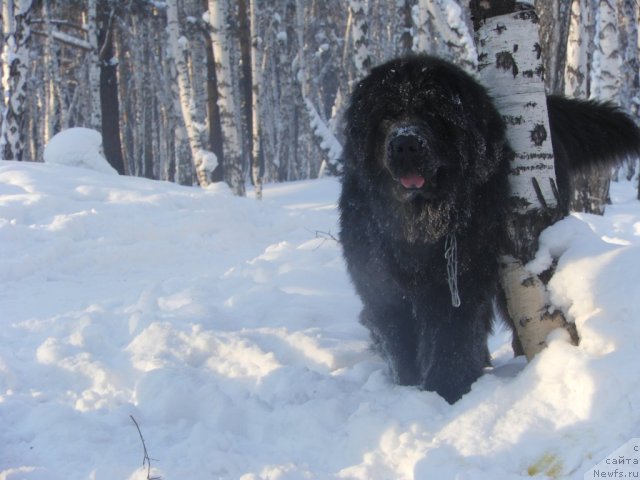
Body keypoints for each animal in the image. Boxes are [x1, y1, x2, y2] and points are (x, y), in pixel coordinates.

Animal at [340, 54, 640, 404]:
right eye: (387, 115)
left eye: (431, 113)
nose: (405, 144)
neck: (420, 223)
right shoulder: (380, 283)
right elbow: (399, 339)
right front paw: (410, 386)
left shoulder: (460, 277)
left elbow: (452, 337)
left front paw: (446, 390)